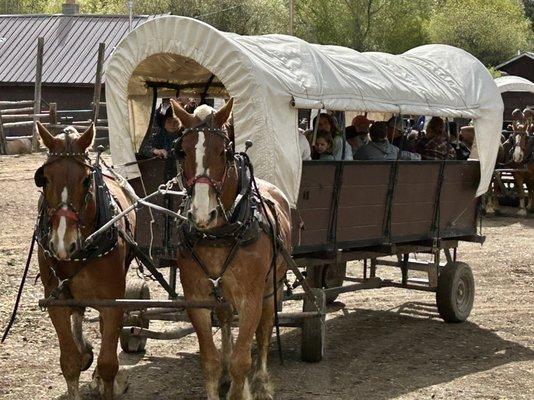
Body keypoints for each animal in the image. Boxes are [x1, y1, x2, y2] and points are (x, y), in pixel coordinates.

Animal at [34, 122, 136, 400]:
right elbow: (69, 362)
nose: (62, 244)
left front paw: (104, 380)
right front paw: (79, 357)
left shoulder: (113, 301)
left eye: (86, 179)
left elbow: (109, 362)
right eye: (44, 179)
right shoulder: (56, 299)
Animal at [172, 97, 294, 400]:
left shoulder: (251, 299)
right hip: (223, 296)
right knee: (227, 323)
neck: (218, 235)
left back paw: (261, 380)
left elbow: (243, 359)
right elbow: (210, 360)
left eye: (224, 152)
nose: (203, 213)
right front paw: (222, 376)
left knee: (264, 330)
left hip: (271, 287)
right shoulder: (197, 299)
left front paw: (244, 387)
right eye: (182, 151)